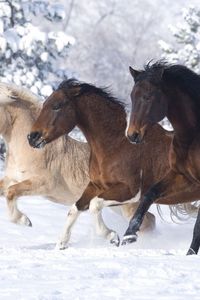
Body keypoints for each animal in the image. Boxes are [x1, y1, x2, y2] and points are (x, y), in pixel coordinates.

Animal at [0, 81, 155, 244]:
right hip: (117, 205)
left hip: (126, 204)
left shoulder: (43, 184)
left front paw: (24, 221)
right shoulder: (11, 178)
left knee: (148, 221)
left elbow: (11, 192)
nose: (32, 139)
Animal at [28, 79, 200, 248]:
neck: (116, 144)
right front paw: (61, 243)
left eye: (57, 106)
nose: (32, 137)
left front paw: (112, 237)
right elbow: (75, 209)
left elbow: (94, 205)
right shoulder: (96, 186)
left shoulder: (130, 191)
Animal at [126, 62, 200, 254]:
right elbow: (149, 195)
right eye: (132, 96)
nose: (132, 135)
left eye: (148, 96)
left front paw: (190, 253)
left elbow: (197, 228)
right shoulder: (182, 177)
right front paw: (129, 235)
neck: (192, 136)